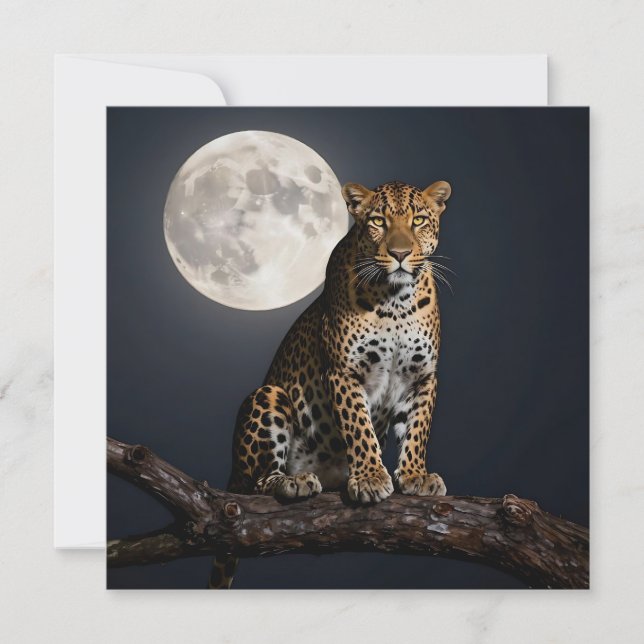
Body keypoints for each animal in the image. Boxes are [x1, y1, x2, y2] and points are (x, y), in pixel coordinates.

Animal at [209, 179, 452, 588]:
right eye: (378, 221)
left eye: (418, 220)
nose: (401, 254)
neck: (396, 302)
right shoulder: (344, 371)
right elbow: (360, 428)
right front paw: (370, 478)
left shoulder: (422, 377)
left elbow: (417, 430)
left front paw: (416, 475)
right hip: (268, 397)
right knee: (255, 484)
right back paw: (292, 482)